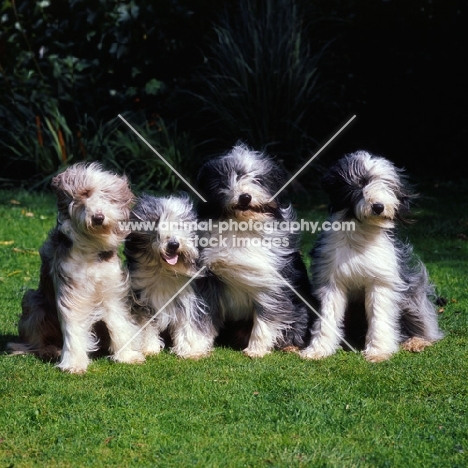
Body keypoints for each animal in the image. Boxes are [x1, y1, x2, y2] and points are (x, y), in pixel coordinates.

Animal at [7, 163, 144, 374]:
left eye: (107, 195)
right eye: (85, 193)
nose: (98, 217)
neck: (91, 247)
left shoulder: (112, 288)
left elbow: (119, 322)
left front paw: (127, 356)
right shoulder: (71, 288)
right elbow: (73, 327)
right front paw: (74, 364)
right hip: (33, 301)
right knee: (34, 343)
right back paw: (50, 350)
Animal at [122, 194, 214, 358]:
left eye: (181, 225)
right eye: (156, 222)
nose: (173, 244)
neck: (164, 272)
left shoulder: (188, 298)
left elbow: (189, 322)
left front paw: (191, 350)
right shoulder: (142, 300)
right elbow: (145, 324)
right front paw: (148, 348)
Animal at [300, 151, 442, 362]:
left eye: (387, 184)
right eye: (360, 183)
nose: (378, 206)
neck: (362, 234)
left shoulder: (381, 281)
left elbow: (379, 316)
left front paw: (378, 351)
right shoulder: (332, 281)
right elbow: (328, 316)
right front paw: (318, 349)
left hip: (412, 298)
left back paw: (416, 342)